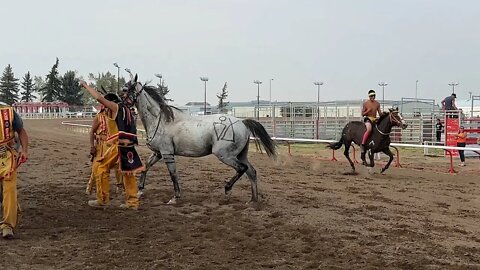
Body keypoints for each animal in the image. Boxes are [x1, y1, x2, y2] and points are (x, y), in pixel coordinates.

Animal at [124, 75, 278, 204]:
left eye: (125, 89)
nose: (120, 102)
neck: (160, 121)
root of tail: (242, 122)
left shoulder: (167, 154)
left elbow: (173, 174)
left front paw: (175, 197)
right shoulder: (157, 153)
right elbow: (145, 167)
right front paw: (139, 191)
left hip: (224, 155)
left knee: (242, 168)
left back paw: (228, 189)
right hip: (241, 155)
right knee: (251, 172)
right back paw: (253, 200)